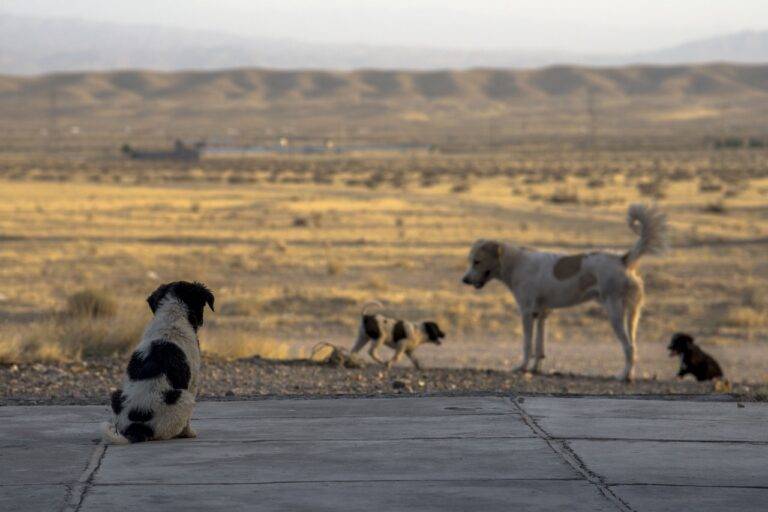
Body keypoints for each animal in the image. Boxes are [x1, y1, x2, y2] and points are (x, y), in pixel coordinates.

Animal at [102, 282, 214, 442]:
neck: (172, 317)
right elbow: (187, 422)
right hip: (184, 398)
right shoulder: (193, 381)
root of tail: (137, 427)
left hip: (116, 396)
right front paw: (189, 433)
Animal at [462, 204, 664, 380]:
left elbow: (527, 345)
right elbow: (539, 347)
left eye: (477, 261)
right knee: (634, 346)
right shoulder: (541, 313)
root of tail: (623, 259)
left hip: (614, 312)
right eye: (471, 261)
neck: (516, 263)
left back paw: (623, 376)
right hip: (632, 314)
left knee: (628, 347)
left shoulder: (527, 313)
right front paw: (535, 369)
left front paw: (522, 367)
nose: (464, 280)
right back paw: (629, 375)